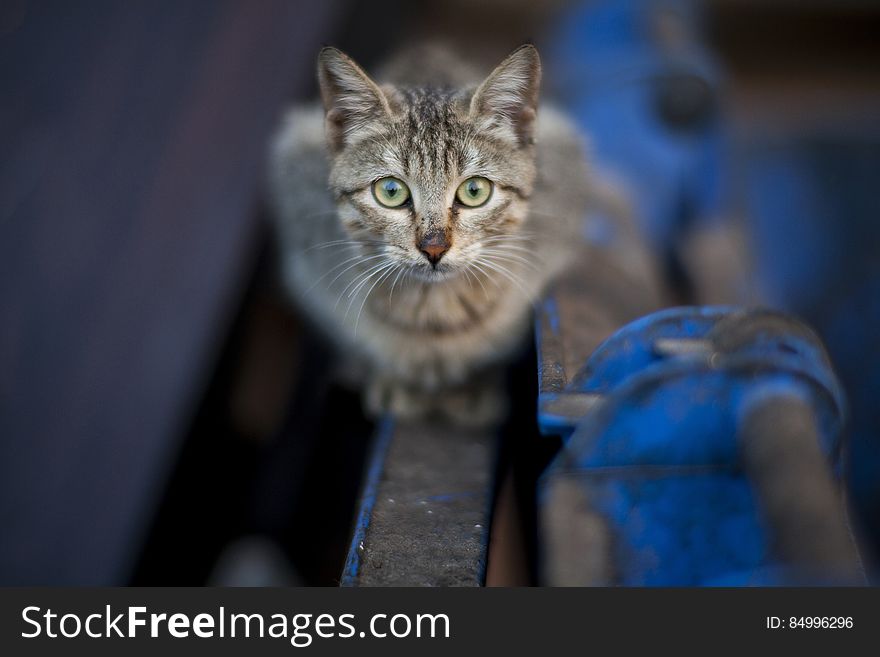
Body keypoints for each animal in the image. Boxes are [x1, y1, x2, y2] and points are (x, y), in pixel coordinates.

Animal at [272, 47, 592, 426]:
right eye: (391, 191)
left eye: (474, 190)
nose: (434, 247)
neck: (434, 311)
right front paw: (391, 377)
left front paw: (475, 384)